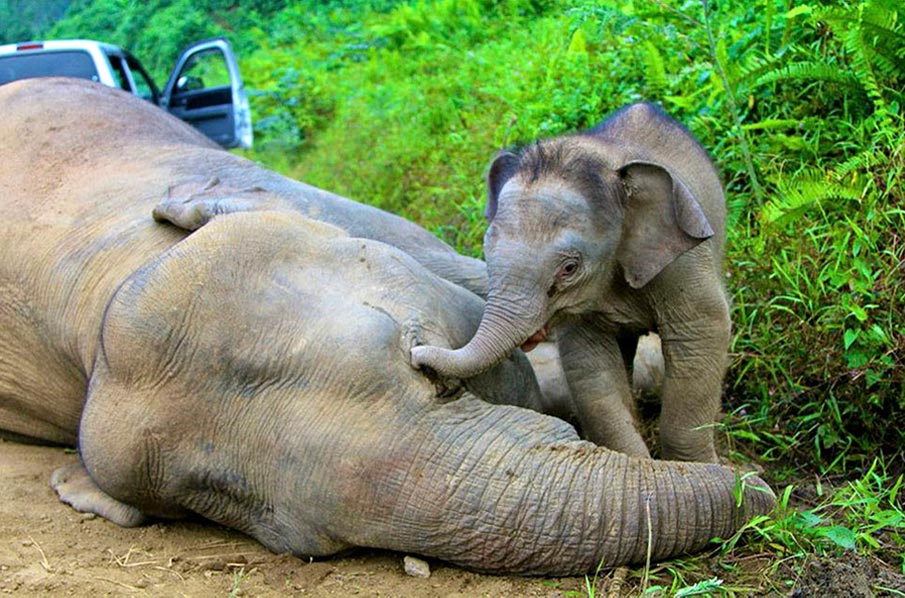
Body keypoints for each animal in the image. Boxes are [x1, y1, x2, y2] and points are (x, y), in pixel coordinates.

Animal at [411, 103, 730, 463]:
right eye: (486, 251)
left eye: (569, 268)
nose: (417, 355)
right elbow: (589, 365)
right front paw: (637, 463)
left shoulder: (683, 263)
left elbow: (702, 335)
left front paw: (700, 467)